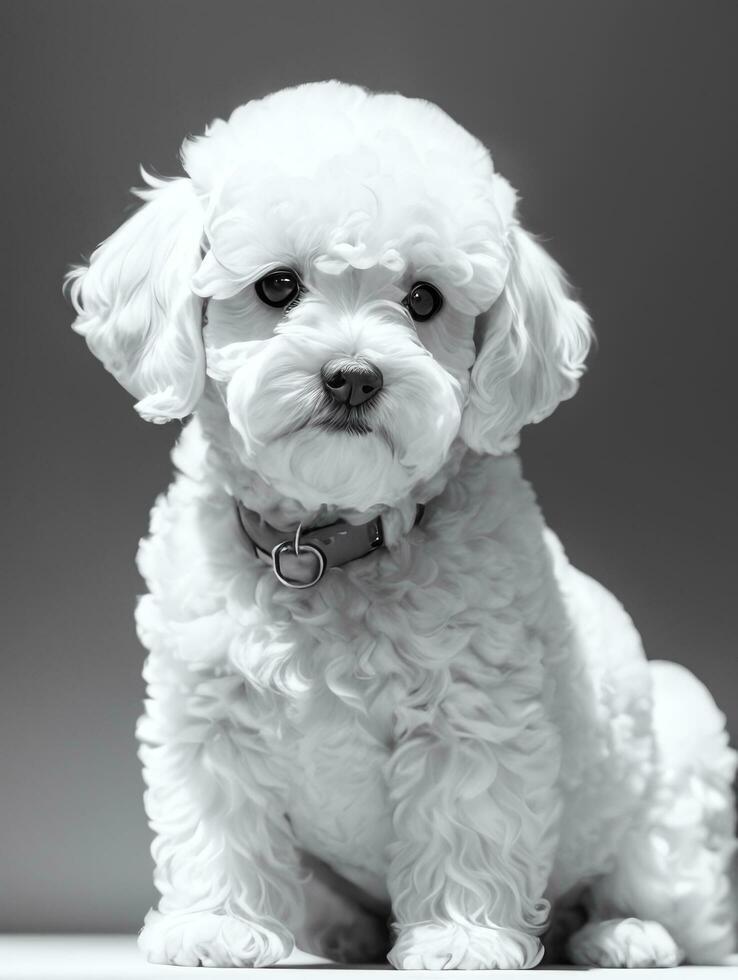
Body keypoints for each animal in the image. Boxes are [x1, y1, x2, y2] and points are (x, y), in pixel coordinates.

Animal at [66, 80, 732, 968]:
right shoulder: (208, 711)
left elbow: (465, 824)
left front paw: (461, 939)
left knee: (665, 895)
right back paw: (342, 934)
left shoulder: (473, 715)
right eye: (276, 287)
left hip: (680, 755)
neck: (323, 546)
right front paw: (219, 923)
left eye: (424, 300)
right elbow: (220, 825)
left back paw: (626, 933)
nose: (352, 376)